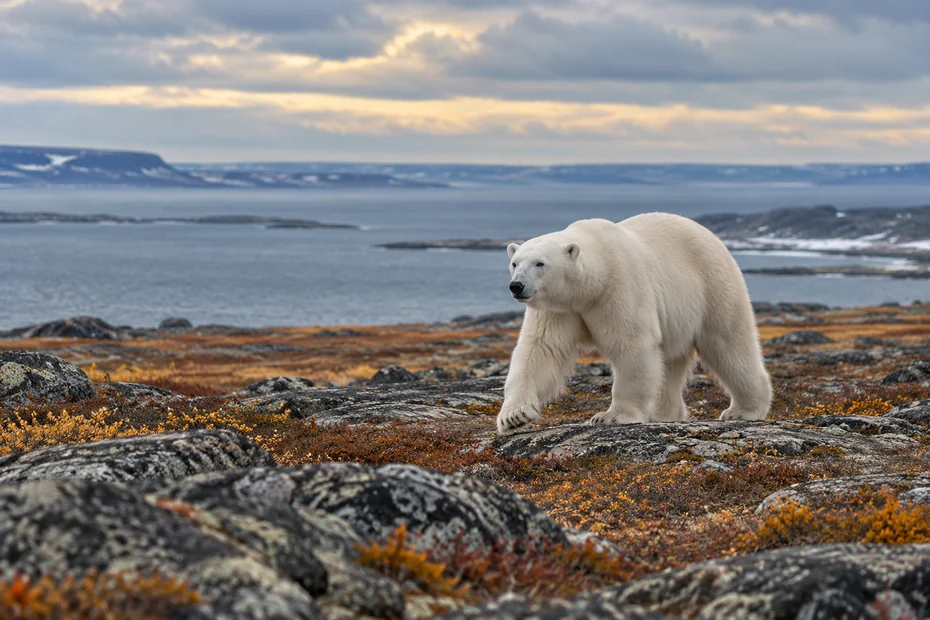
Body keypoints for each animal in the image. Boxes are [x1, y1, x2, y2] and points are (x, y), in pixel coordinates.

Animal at [497, 213, 771, 435]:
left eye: (540, 263)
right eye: (514, 262)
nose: (516, 286)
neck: (590, 287)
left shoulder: (619, 287)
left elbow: (631, 345)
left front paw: (611, 416)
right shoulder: (558, 309)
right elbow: (540, 350)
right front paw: (514, 416)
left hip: (714, 287)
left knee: (729, 346)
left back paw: (744, 410)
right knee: (670, 362)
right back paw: (662, 413)